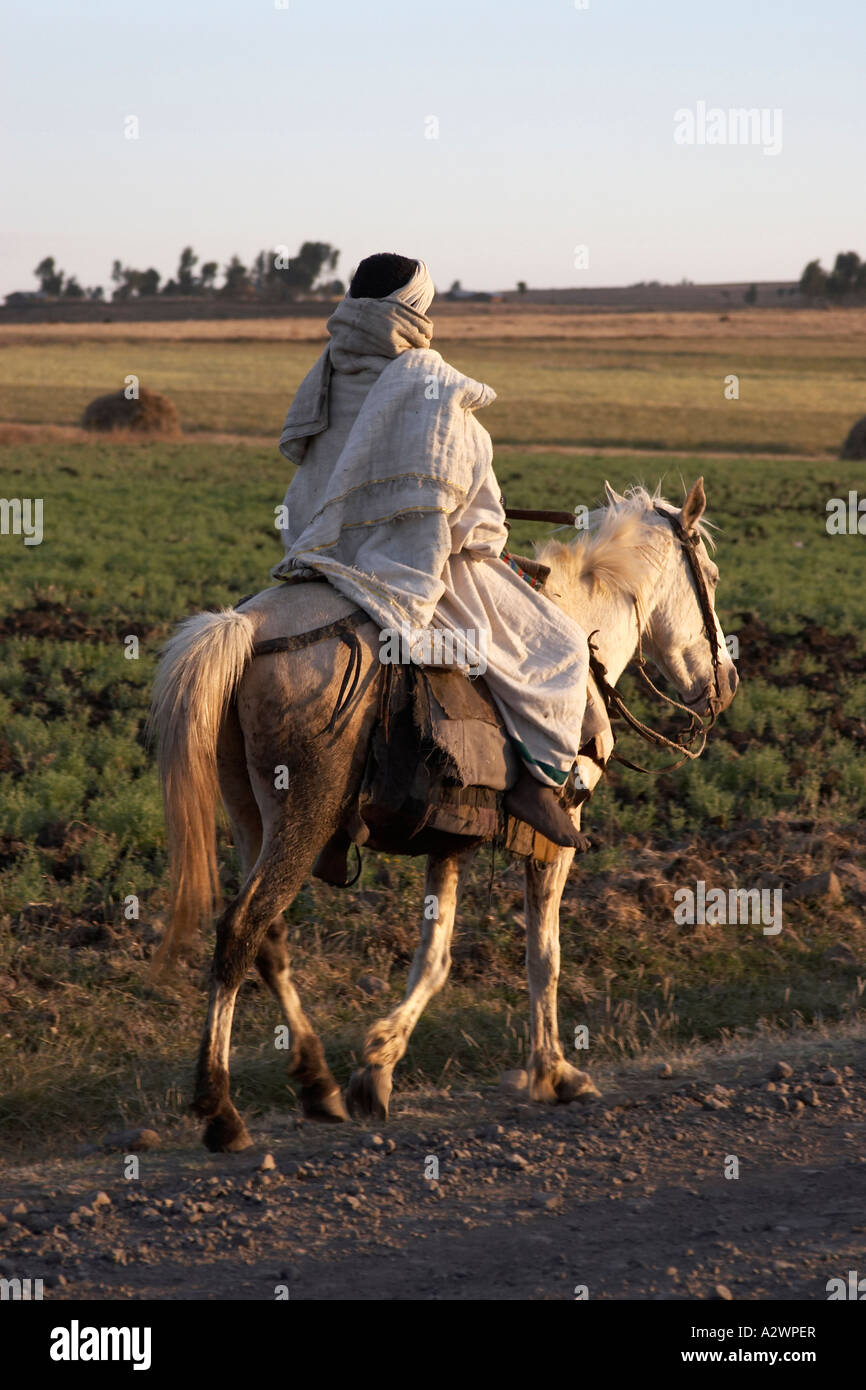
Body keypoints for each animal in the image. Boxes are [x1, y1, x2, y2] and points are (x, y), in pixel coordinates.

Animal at [148, 478, 738, 1152]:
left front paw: (376, 1069)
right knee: (242, 930)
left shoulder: (450, 840)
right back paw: (221, 1111)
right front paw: (554, 1071)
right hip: (303, 818)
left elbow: (434, 958)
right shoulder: (557, 838)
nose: (728, 683)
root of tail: (246, 624)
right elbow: (544, 954)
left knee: (267, 938)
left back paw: (318, 1083)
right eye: (711, 577)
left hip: (251, 817)